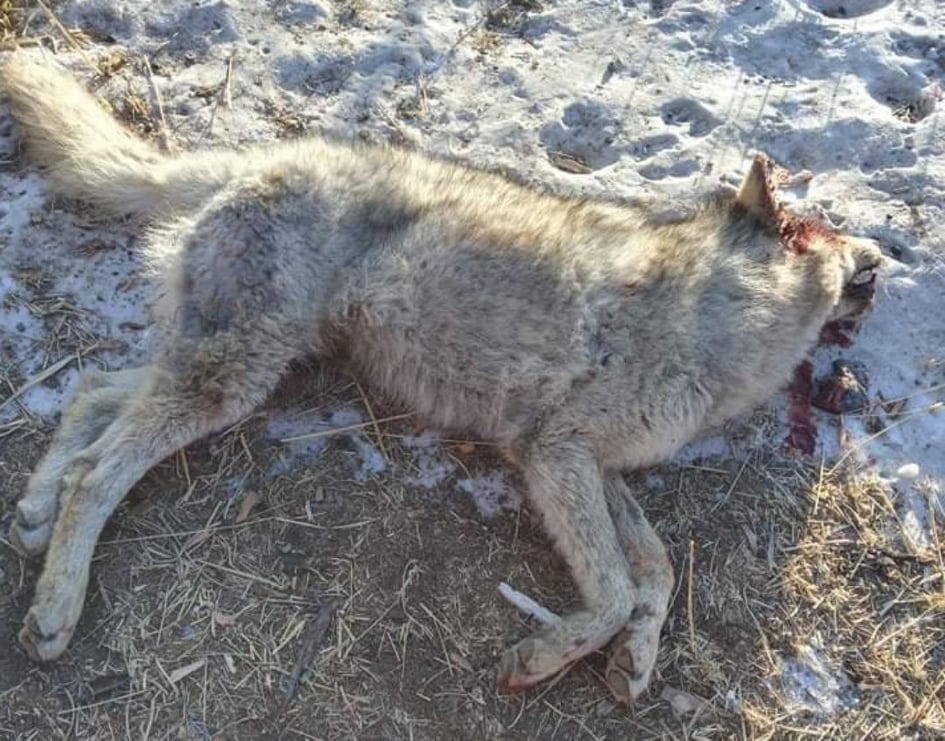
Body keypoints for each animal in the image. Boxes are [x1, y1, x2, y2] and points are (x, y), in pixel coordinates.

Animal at [0, 51, 881, 703]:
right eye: (831, 229)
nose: (886, 255)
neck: (719, 311)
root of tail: (277, 152)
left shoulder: (587, 465)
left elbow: (654, 569)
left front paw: (635, 659)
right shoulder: (554, 456)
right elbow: (611, 591)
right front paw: (545, 656)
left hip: (238, 372)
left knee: (92, 393)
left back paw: (34, 515)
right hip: (230, 379)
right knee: (97, 466)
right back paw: (55, 604)